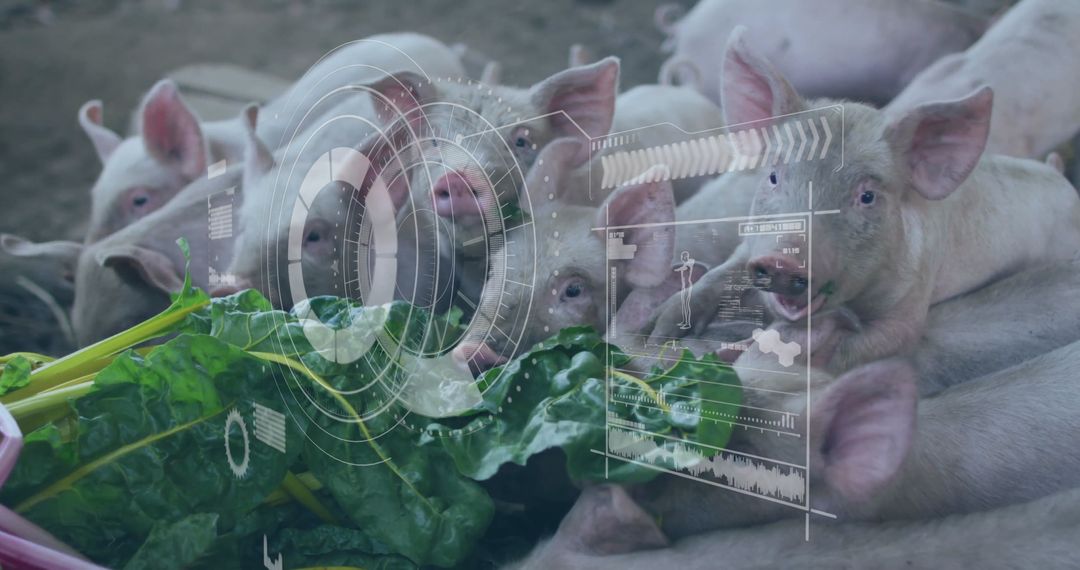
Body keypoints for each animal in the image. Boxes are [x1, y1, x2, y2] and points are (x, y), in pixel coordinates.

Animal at [649, 28, 1080, 374]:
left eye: (867, 196)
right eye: (773, 176)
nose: (784, 258)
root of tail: (1061, 176)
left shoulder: (911, 298)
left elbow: (866, 346)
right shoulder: (750, 243)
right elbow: (718, 276)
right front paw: (659, 332)